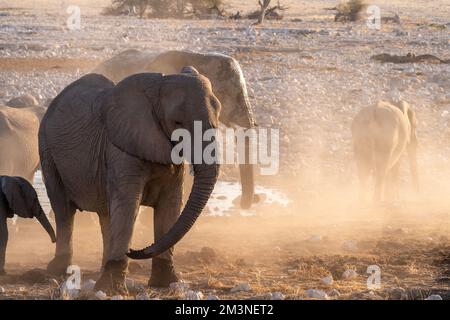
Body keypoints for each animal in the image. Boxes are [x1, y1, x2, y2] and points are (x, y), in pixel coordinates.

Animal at [39, 69, 221, 294]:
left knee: (105, 214)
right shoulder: (121, 149)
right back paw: (59, 270)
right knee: (63, 209)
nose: (133, 251)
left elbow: (170, 205)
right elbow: (128, 205)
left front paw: (165, 283)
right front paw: (111, 290)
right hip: (47, 149)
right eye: (177, 122)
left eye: (219, 113)